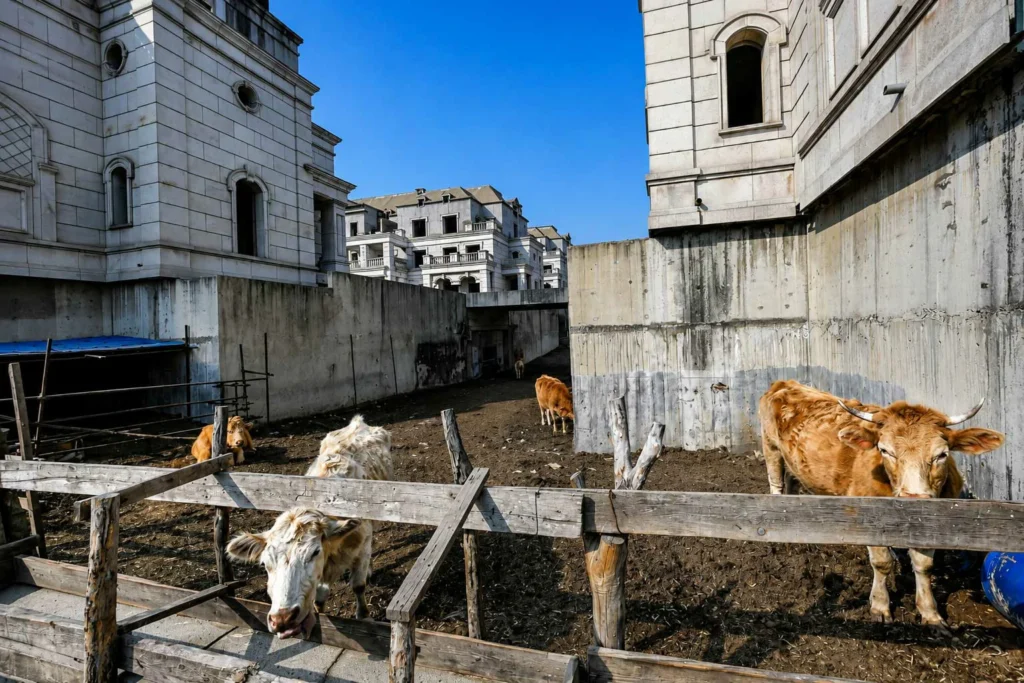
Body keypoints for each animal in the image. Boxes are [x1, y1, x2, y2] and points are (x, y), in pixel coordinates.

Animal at [226, 415, 392, 638]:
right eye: (265, 563)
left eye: (314, 552)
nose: (282, 619)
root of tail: (358, 422)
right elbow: (320, 597)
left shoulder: (362, 545)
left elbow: (358, 585)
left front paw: (364, 616)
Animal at [759, 380, 1004, 629]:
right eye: (885, 450)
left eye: (942, 454)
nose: (913, 499)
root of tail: (785, 383)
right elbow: (882, 562)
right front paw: (880, 606)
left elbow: (924, 565)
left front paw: (930, 613)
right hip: (771, 448)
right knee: (776, 485)